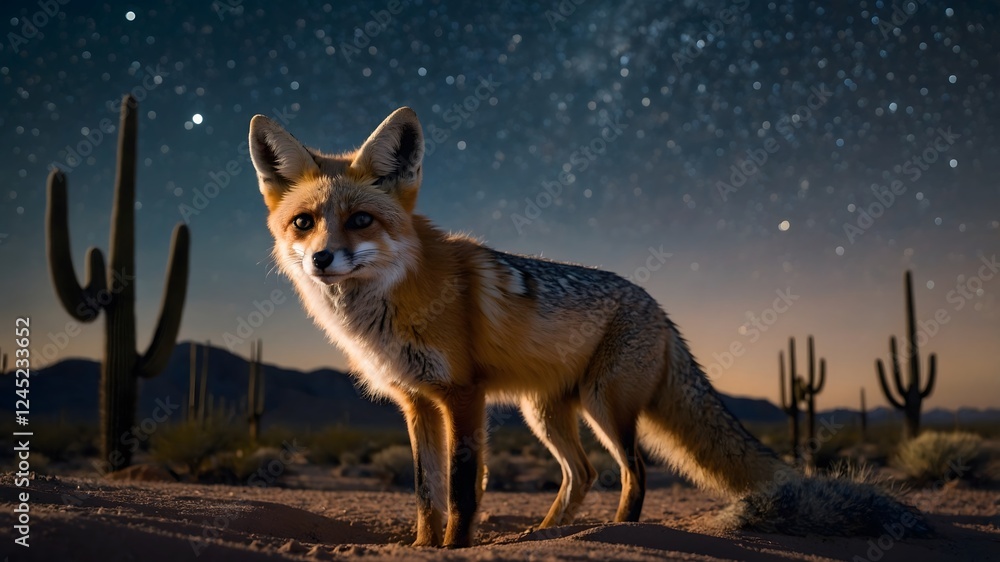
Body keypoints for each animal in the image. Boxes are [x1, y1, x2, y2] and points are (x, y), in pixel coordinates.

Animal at [249, 107, 931, 548]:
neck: (389, 304)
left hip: (605, 403)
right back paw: (549, 533)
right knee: (583, 474)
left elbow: (464, 488)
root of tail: (660, 307)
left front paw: (456, 548)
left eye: (361, 220)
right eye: (305, 222)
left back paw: (619, 531)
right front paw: (422, 547)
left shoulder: (463, 395)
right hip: (545, 413)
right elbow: (425, 490)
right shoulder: (416, 401)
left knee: (633, 470)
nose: (321, 260)